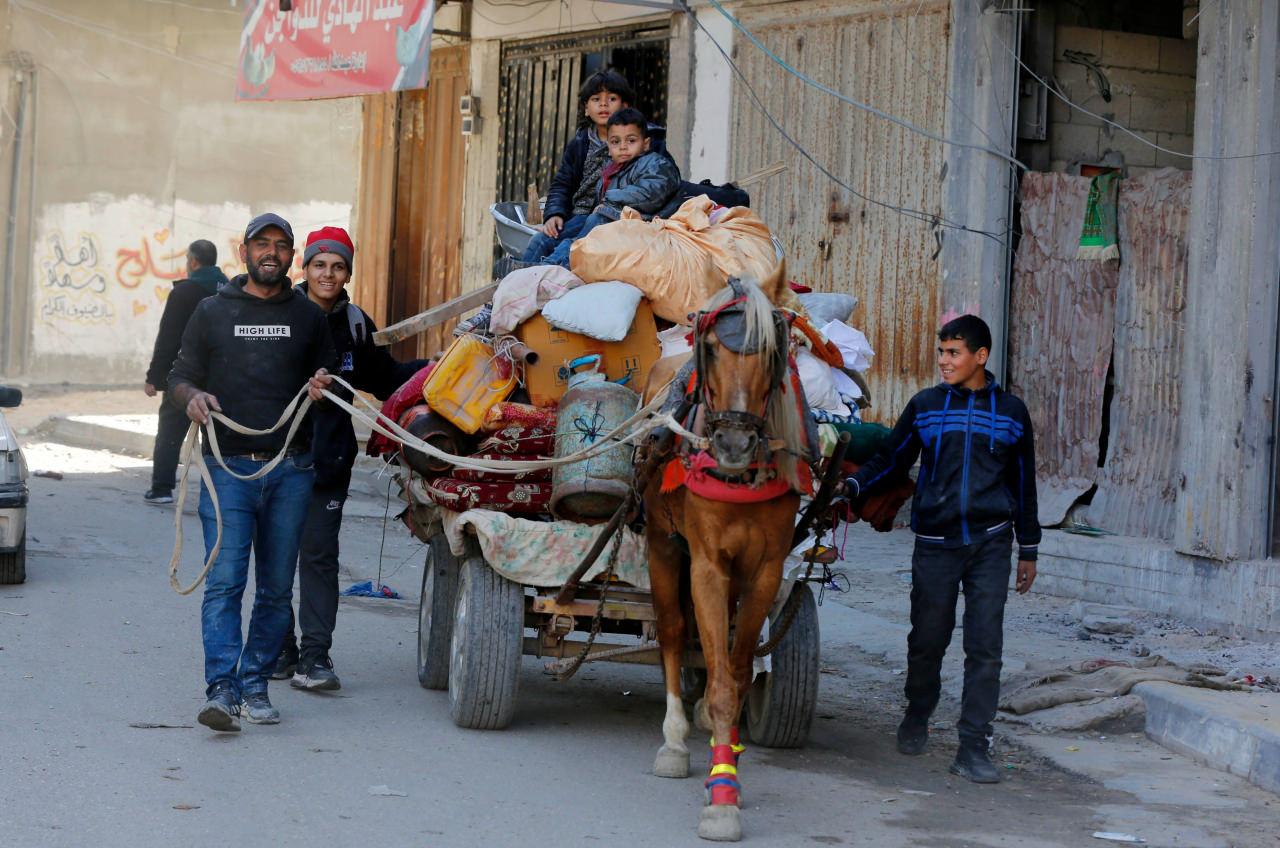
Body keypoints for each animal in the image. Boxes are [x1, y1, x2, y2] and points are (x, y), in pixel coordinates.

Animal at [640, 277, 808, 845]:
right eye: (712, 348)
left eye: (773, 353)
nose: (734, 443)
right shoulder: (706, 564)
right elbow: (717, 680)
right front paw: (721, 798)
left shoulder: (764, 570)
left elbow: (734, 672)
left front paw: (728, 758)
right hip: (663, 545)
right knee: (672, 631)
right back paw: (673, 738)